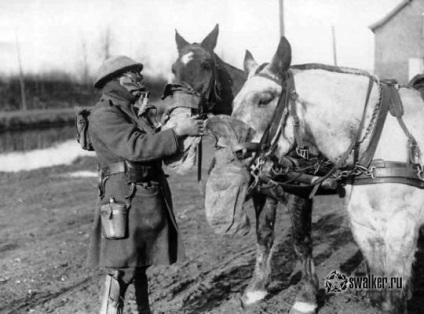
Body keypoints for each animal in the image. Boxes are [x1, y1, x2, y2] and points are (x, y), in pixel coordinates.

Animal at [230, 36, 424, 312]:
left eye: (265, 99)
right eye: (234, 101)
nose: (233, 153)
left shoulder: (401, 230)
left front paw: (305, 299)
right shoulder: (364, 228)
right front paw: (256, 290)